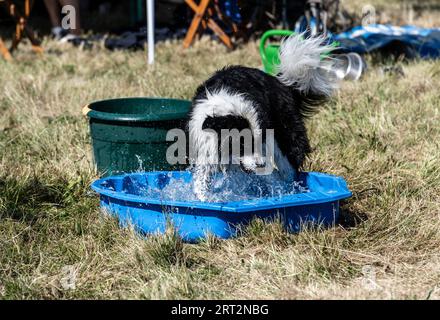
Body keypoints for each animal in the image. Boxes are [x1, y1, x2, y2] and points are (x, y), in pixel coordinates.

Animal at [186, 33, 336, 198]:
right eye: (242, 143)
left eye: (258, 141)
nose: (261, 164)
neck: (228, 105)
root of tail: (282, 83)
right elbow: (203, 177)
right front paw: (204, 198)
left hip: (287, 136)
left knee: (289, 170)